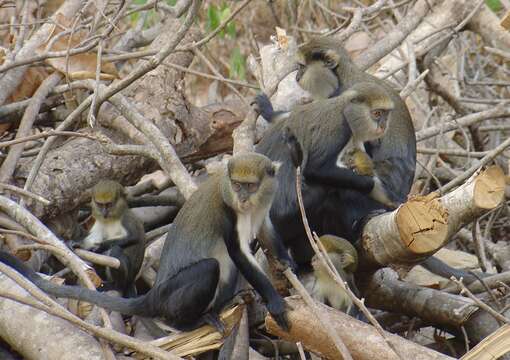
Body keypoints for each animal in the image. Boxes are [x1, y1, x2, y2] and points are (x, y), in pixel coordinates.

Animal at [0, 152, 294, 332]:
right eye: (237, 184)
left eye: (251, 185)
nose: (242, 197)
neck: (247, 206)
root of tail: (153, 296)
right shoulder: (228, 214)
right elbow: (239, 253)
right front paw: (275, 302)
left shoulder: (261, 210)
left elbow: (266, 232)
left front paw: (287, 260)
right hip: (170, 296)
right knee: (210, 267)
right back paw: (189, 323)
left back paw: (226, 303)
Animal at [256, 81, 396, 268]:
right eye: (377, 114)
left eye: (386, 114)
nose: (383, 126)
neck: (344, 109)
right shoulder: (340, 128)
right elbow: (316, 169)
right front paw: (368, 184)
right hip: (289, 217)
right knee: (329, 194)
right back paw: (354, 232)